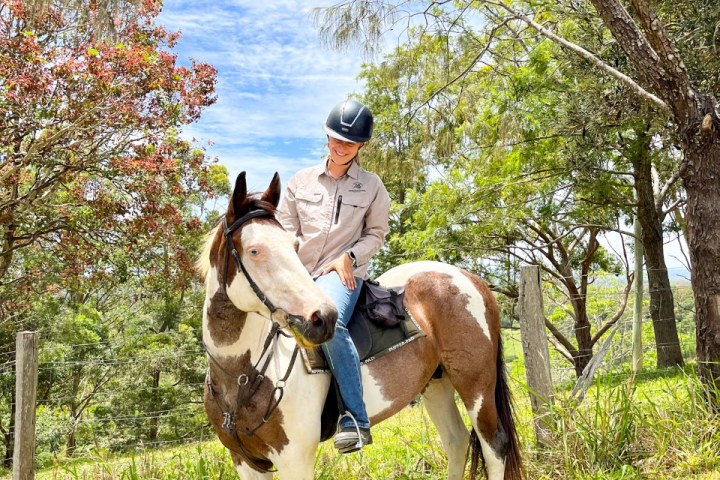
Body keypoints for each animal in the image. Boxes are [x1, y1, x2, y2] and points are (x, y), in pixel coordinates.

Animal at [197, 172, 524, 480]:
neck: (242, 376)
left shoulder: (294, 461)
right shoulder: (246, 463)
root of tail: (469, 278)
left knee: (494, 448)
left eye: (294, 246)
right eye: (254, 251)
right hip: (437, 384)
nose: (323, 318)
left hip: (476, 386)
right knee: (456, 442)